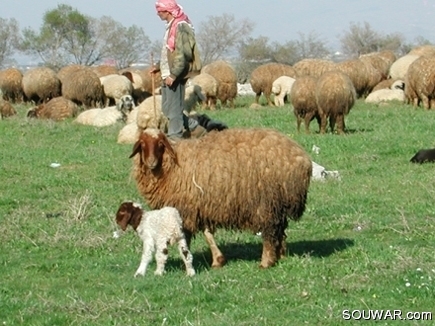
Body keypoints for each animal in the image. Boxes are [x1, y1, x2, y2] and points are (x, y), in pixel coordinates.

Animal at [129, 127, 314, 268]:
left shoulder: (186, 209)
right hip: (277, 202)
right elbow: (207, 233)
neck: (171, 167)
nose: (151, 162)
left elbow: (187, 237)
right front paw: (218, 260)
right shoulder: (201, 205)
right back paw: (280, 255)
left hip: (266, 202)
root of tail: (301, 158)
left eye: (160, 144)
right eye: (142, 144)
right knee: (280, 229)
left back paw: (266, 262)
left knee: (269, 232)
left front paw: (187, 261)